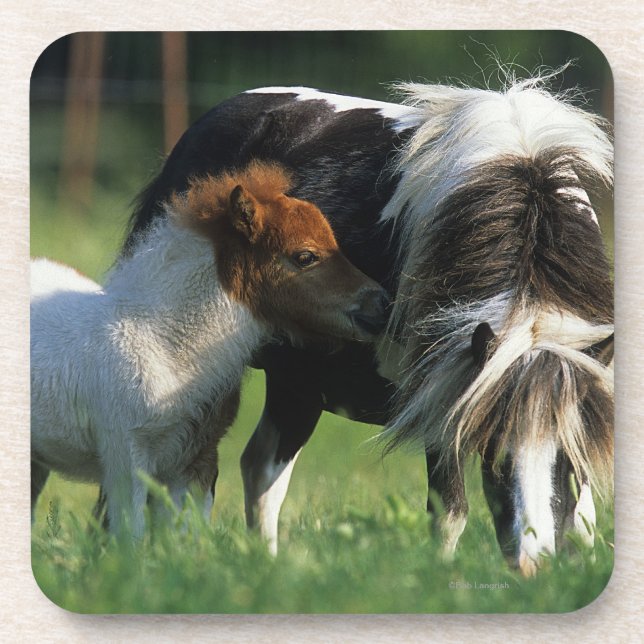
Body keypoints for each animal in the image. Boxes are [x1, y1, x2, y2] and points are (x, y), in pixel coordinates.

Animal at [30, 160, 389, 538]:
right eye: (305, 256)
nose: (381, 302)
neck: (164, 345)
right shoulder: (127, 459)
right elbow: (133, 537)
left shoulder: (196, 462)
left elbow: (184, 537)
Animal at [123, 74, 614, 574]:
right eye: (494, 452)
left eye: (566, 457)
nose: (533, 565)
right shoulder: (440, 402)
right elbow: (449, 513)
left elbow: (583, 518)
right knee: (192, 477)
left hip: (297, 384)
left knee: (260, 471)